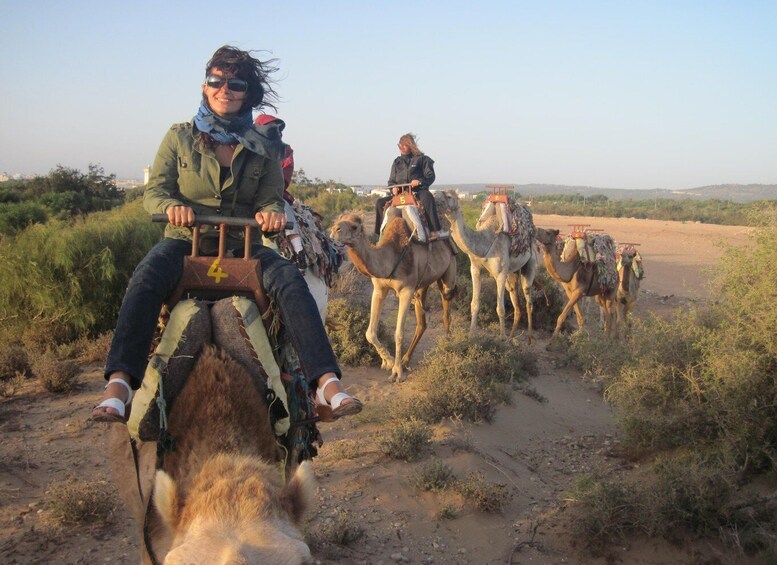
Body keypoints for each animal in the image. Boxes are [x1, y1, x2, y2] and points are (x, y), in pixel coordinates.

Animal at [330, 214, 458, 382]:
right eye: (338, 220)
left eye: (354, 226)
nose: (334, 230)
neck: (389, 259)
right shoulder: (379, 289)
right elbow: (370, 333)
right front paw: (388, 362)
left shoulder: (406, 290)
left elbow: (399, 333)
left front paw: (397, 372)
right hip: (422, 284)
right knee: (422, 321)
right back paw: (406, 360)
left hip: (449, 270)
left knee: (447, 307)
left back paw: (448, 348)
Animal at [440, 189, 536, 340]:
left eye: (449, 196)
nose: (435, 200)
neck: (485, 241)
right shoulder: (475, 269)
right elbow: (474, 304)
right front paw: (471, 334)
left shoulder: (500, 274)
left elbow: (500, 308)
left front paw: (501, 338)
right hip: (512, 272)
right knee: (516, 300)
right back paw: (511, 338)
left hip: (531, 262)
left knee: (528, 300)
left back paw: (528, 340)